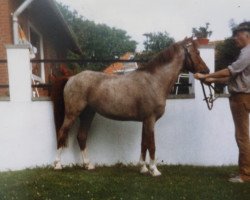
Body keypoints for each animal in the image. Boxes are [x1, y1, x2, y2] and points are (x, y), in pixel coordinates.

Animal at [52, 36, 209, 176]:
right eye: (197, 53)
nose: (206, 71)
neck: (154, 81)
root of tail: (72, 78)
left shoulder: (145, 121)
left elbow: (144, 144)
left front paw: (143, 168)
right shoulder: (150, 120)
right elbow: (152, 145)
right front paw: (154, 170)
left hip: (88, 114)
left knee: (81, 136)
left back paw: (88, 165)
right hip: (72, 113)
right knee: (62, 133)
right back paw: (58, 164)